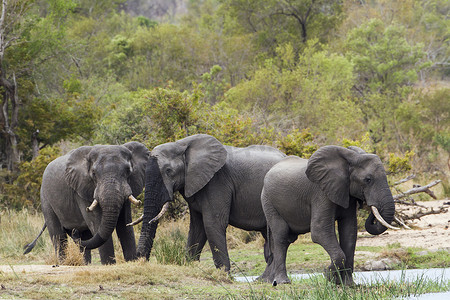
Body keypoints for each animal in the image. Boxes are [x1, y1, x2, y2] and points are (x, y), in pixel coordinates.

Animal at [135, 134, 286, 270]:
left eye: (168, 171)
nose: (141, 260)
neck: (182, 144)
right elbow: (197, 227)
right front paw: (191, 265)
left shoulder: (217, 181)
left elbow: (212, 223)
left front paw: (224, 274)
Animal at [258, 145, 400, 286]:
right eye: (368, 180)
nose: (368, 204)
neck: (351, 158)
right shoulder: (321, 193)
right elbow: (319, 231)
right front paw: (328, 276)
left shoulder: (346, 191)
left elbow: (349, 232)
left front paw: (348, 284)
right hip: (268, 201)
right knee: (281, 235)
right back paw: (283, 282)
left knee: (287, 239)